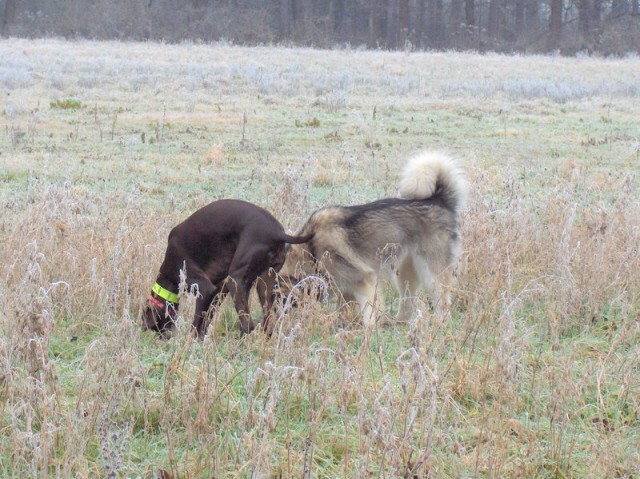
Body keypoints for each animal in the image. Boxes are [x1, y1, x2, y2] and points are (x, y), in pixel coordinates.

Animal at [142, 199, 310, 338]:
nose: (162, 337)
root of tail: (278, 233)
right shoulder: (218, 289)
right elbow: (206, 318)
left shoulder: (204, 288)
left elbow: (196, 322)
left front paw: (189, 343)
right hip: (264, 283)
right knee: (268, 321)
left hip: (236, 281)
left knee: (248, 325)